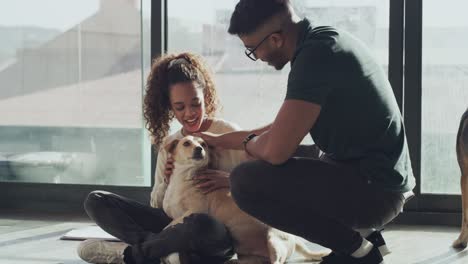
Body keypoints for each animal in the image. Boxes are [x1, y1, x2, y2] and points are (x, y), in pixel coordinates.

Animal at [157, 136, 326, 264]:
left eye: (203, 144)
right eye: (186, 143)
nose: (199, 149)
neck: (183, 177)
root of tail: (294, 239)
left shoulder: (196, 210)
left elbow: (167, 227)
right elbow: (170, 223)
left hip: (273, 239)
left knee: (277, 261)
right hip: (249, 255)